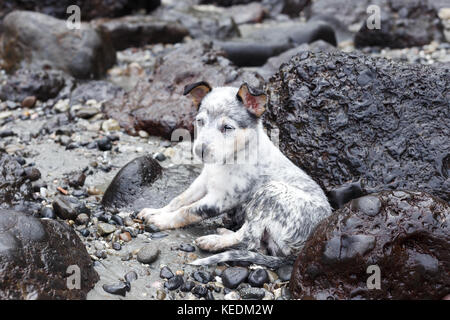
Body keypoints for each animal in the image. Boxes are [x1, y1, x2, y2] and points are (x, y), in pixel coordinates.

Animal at [137, 82, 330, 268]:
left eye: (227, 127)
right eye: (200, 121)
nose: (199, 150)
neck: (229, 160)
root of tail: (297, 254)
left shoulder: (222, 199)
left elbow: (187, 211)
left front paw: (161, 220)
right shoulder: (203, 181)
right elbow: (178, 200)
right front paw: (155, 211)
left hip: (271, 192)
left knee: (250, 240)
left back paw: (213, 241)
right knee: (257, 244)